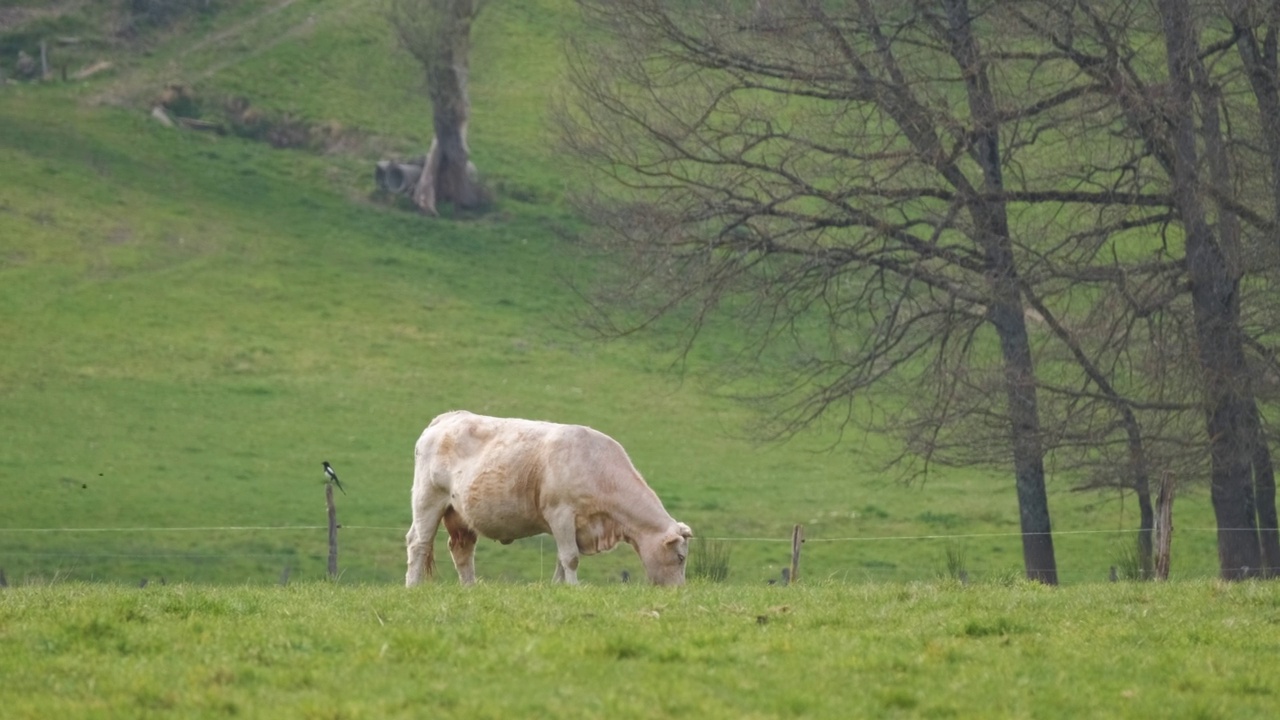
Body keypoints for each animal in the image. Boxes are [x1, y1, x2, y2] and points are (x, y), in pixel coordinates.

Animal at [404, 409, 696, 584]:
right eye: (680, 558)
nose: (678, 592)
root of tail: (447, 417)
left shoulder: (571, 525)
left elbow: (561, 560)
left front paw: (558, 588)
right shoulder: (561, 513)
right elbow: (570, 558)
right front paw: (575, 589)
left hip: (459, 514)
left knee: (462, 551)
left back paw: (470, 589)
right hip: (428, 500)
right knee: (418, 543)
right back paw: (413, 587)